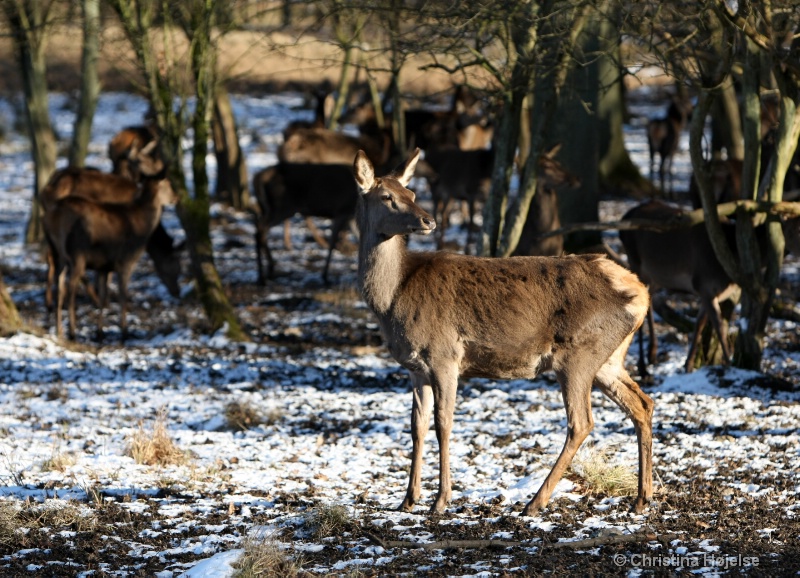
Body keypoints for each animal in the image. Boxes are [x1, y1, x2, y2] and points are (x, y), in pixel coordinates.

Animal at [44, 160, 176, 340]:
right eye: (168, 183)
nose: (176, 198)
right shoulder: (125, 261)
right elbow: (123, 295)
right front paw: (125, 331)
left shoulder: (103, 267)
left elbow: (103, 295)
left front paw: (100, 331)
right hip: (77, 254)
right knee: (71, 287)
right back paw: (72, 330)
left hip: (59, 254)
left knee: (60, 283)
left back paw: (59, 329)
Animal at [354, 147, 652, 512]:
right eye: (387, 196)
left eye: (410, 193)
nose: (428, 220)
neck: (392, 299)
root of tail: (641, 293)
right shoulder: (415, 367)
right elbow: (417, 425)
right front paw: (408, 499)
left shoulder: (444, 355)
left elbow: (444, 423)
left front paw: (441, 499)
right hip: (609, 358)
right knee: (642, 404)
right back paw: (643, 497)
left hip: (579, 352)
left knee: (581, 421)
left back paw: (536, 501)